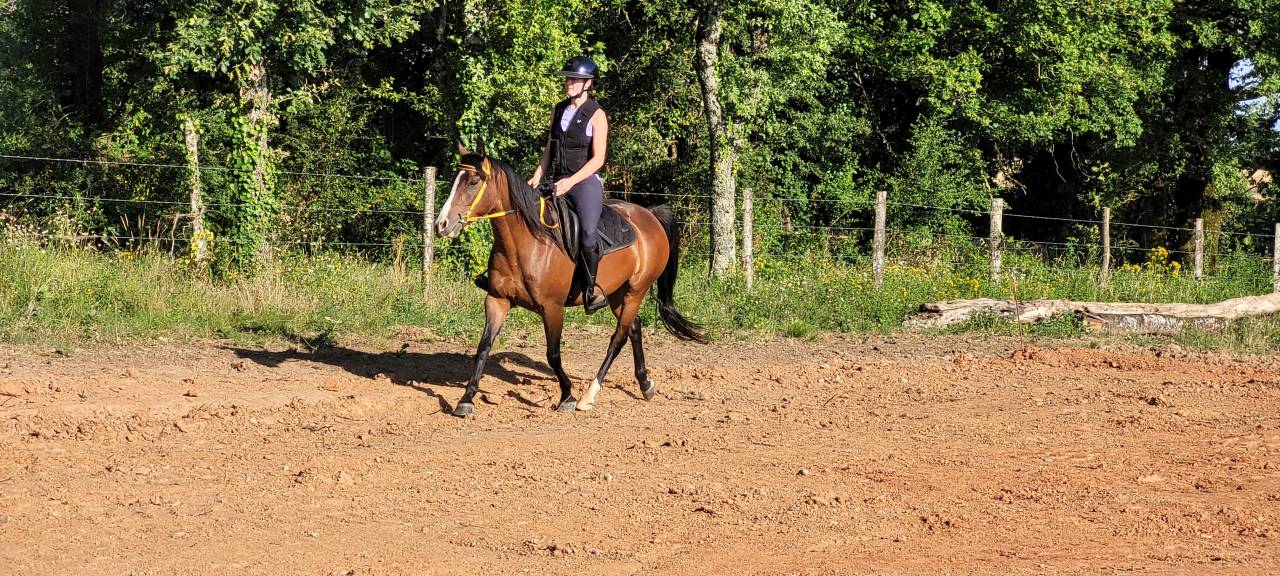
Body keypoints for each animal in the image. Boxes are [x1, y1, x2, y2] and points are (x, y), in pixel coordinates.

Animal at [434, 147, 707, 417]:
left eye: (473, 181)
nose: (441, 225)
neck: (528, 242)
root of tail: (649, 214)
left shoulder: (552, 308)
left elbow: (553, 354)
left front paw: (567, 395)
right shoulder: (497, 300)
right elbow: (483, 347)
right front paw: (466, 399)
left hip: (635, 291)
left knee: (618, 339)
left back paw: (589, 395)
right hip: (618, 294)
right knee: (634, 328)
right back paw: (645, 384)